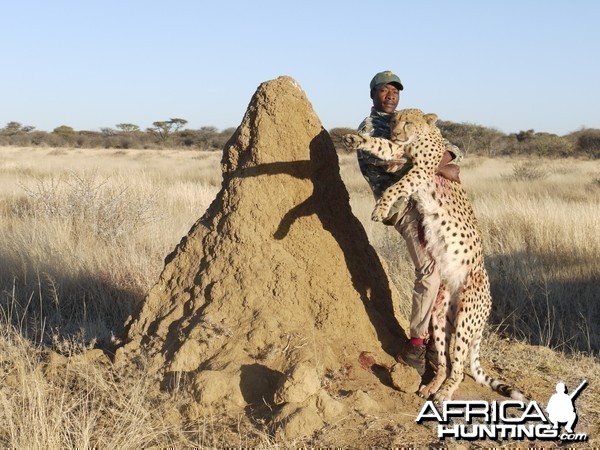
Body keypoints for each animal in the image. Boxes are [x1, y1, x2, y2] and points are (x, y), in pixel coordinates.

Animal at [344, 110, 524, 404]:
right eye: (393, 121)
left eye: (407, 122)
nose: (395, 132)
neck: (420, 137)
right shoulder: (399, 152)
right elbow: (380, 147)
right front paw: (356, 139)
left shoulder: (420, 170)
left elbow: (395, 187)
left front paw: (380, 209)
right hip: (440, 318)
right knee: (444, 361)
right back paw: (432, 386)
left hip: (465, 319)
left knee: (459, 367)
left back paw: (444, 393)